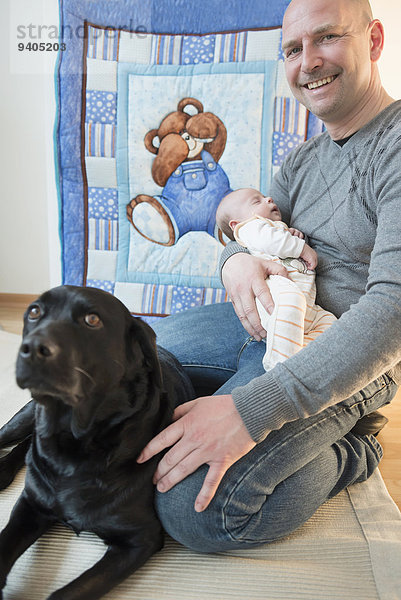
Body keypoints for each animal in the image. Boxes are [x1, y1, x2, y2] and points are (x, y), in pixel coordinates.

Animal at [0, 286, 192, 600]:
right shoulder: (30, 504)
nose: (32, 347)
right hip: (25, 416)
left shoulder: (139, 539)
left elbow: (69, 592)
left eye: (92, 320)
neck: (74, 447)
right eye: (34, 312)